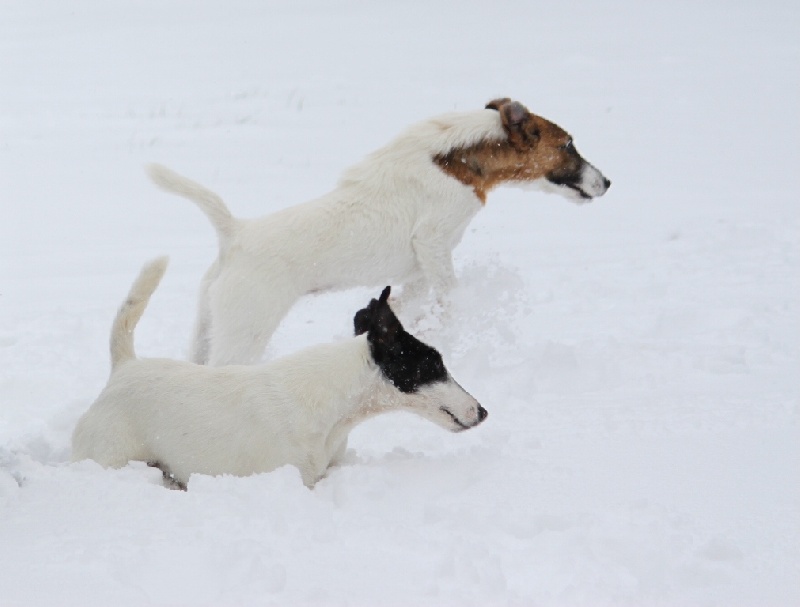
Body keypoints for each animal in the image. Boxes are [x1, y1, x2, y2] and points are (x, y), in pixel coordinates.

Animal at [148, 98, 612, 366]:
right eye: (567, 145)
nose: (607, 183)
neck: (456, 159)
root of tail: (235, 233)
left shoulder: (418, 272)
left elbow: (411, 303)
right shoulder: (433, 243)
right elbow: (451, 295)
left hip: (207, 326)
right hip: (244, 329)